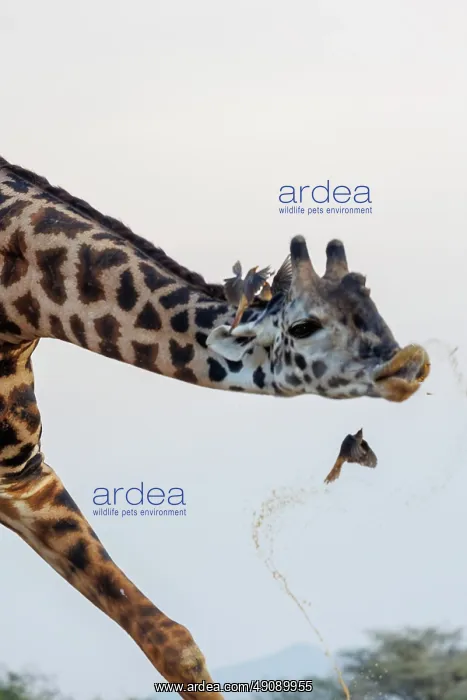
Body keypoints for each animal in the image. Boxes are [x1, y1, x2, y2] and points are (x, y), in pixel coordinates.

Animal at [0, 155, 430, 698]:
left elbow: (171, 642)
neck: (18, 303)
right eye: (304, 327)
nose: (410, 364)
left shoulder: (21, 475)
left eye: (374, 309)